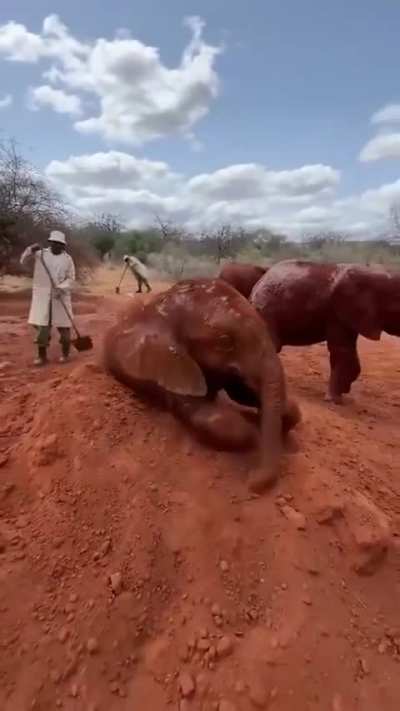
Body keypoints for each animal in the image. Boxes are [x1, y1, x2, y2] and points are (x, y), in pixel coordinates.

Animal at [104, 278, 300, 492]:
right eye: (225, 341)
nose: (252, 481)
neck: (167, 305)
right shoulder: (169, 365)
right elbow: (204, 415)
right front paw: (254, 437)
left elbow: (241, 392)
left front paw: (282, 412)